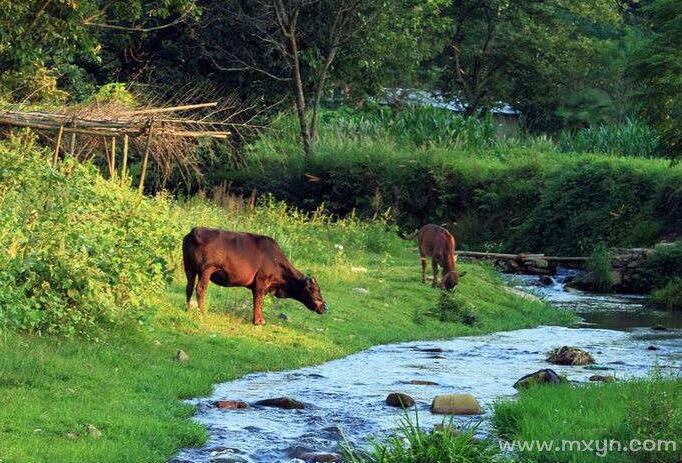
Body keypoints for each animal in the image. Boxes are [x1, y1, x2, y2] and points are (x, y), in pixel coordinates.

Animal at [183, 229, 326, 326]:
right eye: (313, 289)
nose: (325, 306)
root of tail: (195, 230)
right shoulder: (261, 282)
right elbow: (258, 301)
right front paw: (259, 321)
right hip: (206, 269)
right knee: (200, 289)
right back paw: (201, 312)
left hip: (189, 268)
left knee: (189, 287)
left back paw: (187, 309)